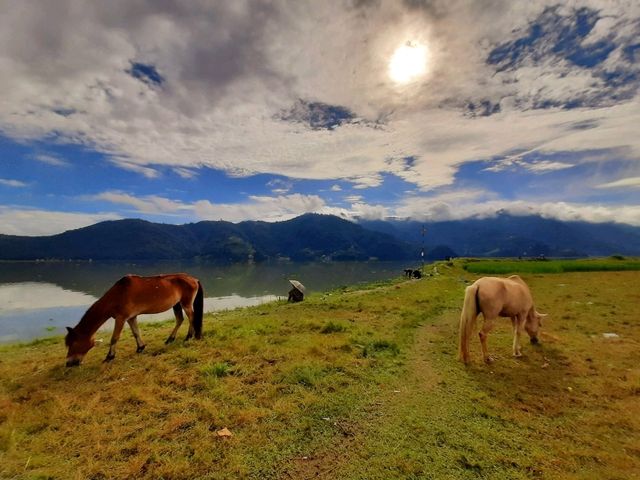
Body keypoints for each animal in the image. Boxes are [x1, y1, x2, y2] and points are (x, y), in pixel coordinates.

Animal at [63, 274, 204, 368]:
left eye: (73, 343)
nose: (68, 363)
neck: (117, 294)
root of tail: (193, 279)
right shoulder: (131, 317)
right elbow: (136, 333)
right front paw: (140, 348)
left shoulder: (121, 318)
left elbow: (114, 338)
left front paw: (109, 357)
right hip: (176, 304)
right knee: (180, 319)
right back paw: (170, 339)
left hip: (186, 303)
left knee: (191, 318)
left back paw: (189, 336)